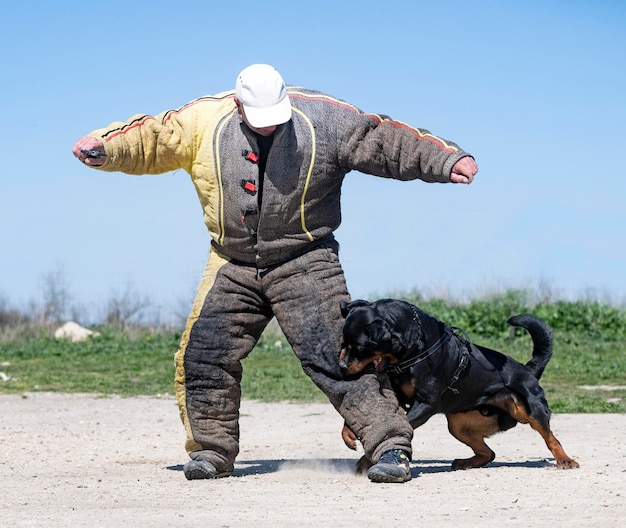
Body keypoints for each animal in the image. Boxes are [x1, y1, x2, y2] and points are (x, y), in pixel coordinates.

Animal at [338, 296, 576, 470]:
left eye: (359, 348)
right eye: (342, 343)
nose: (341, 366)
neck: (412, 350)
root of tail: (529, 370)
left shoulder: (425, 405)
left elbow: (402, 424)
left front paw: (366, 460)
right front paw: (349, 433)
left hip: (530, 410)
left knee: (550, 437)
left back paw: (565, 460)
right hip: (459, 425)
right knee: (489, 453)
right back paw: (465, 462)